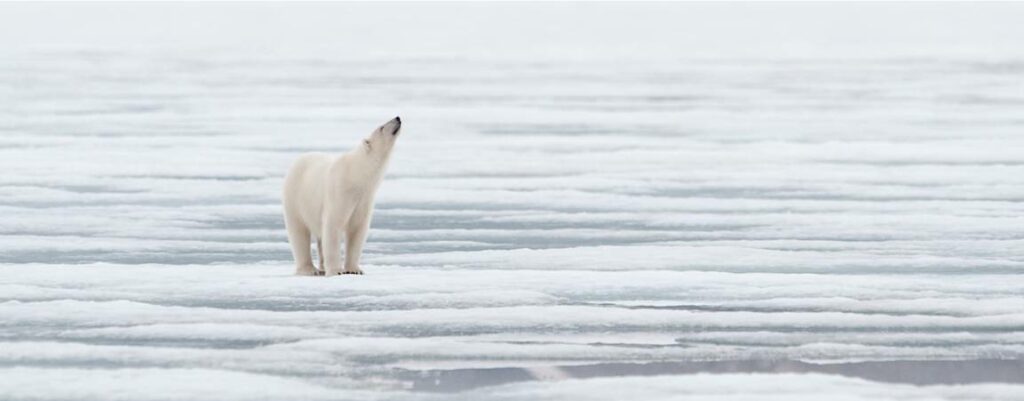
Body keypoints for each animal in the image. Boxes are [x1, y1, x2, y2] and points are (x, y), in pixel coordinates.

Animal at [286, 116, 405, 276]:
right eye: (381, 127)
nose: (397, 118)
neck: (356, 174)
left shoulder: (364, 199)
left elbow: (357, 230)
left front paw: (354, 270)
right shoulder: (340, 192)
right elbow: (333, 227)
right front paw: (336, 271)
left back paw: (322, 267)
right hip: (295, 198)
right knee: (299, 232)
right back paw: (310, 269)